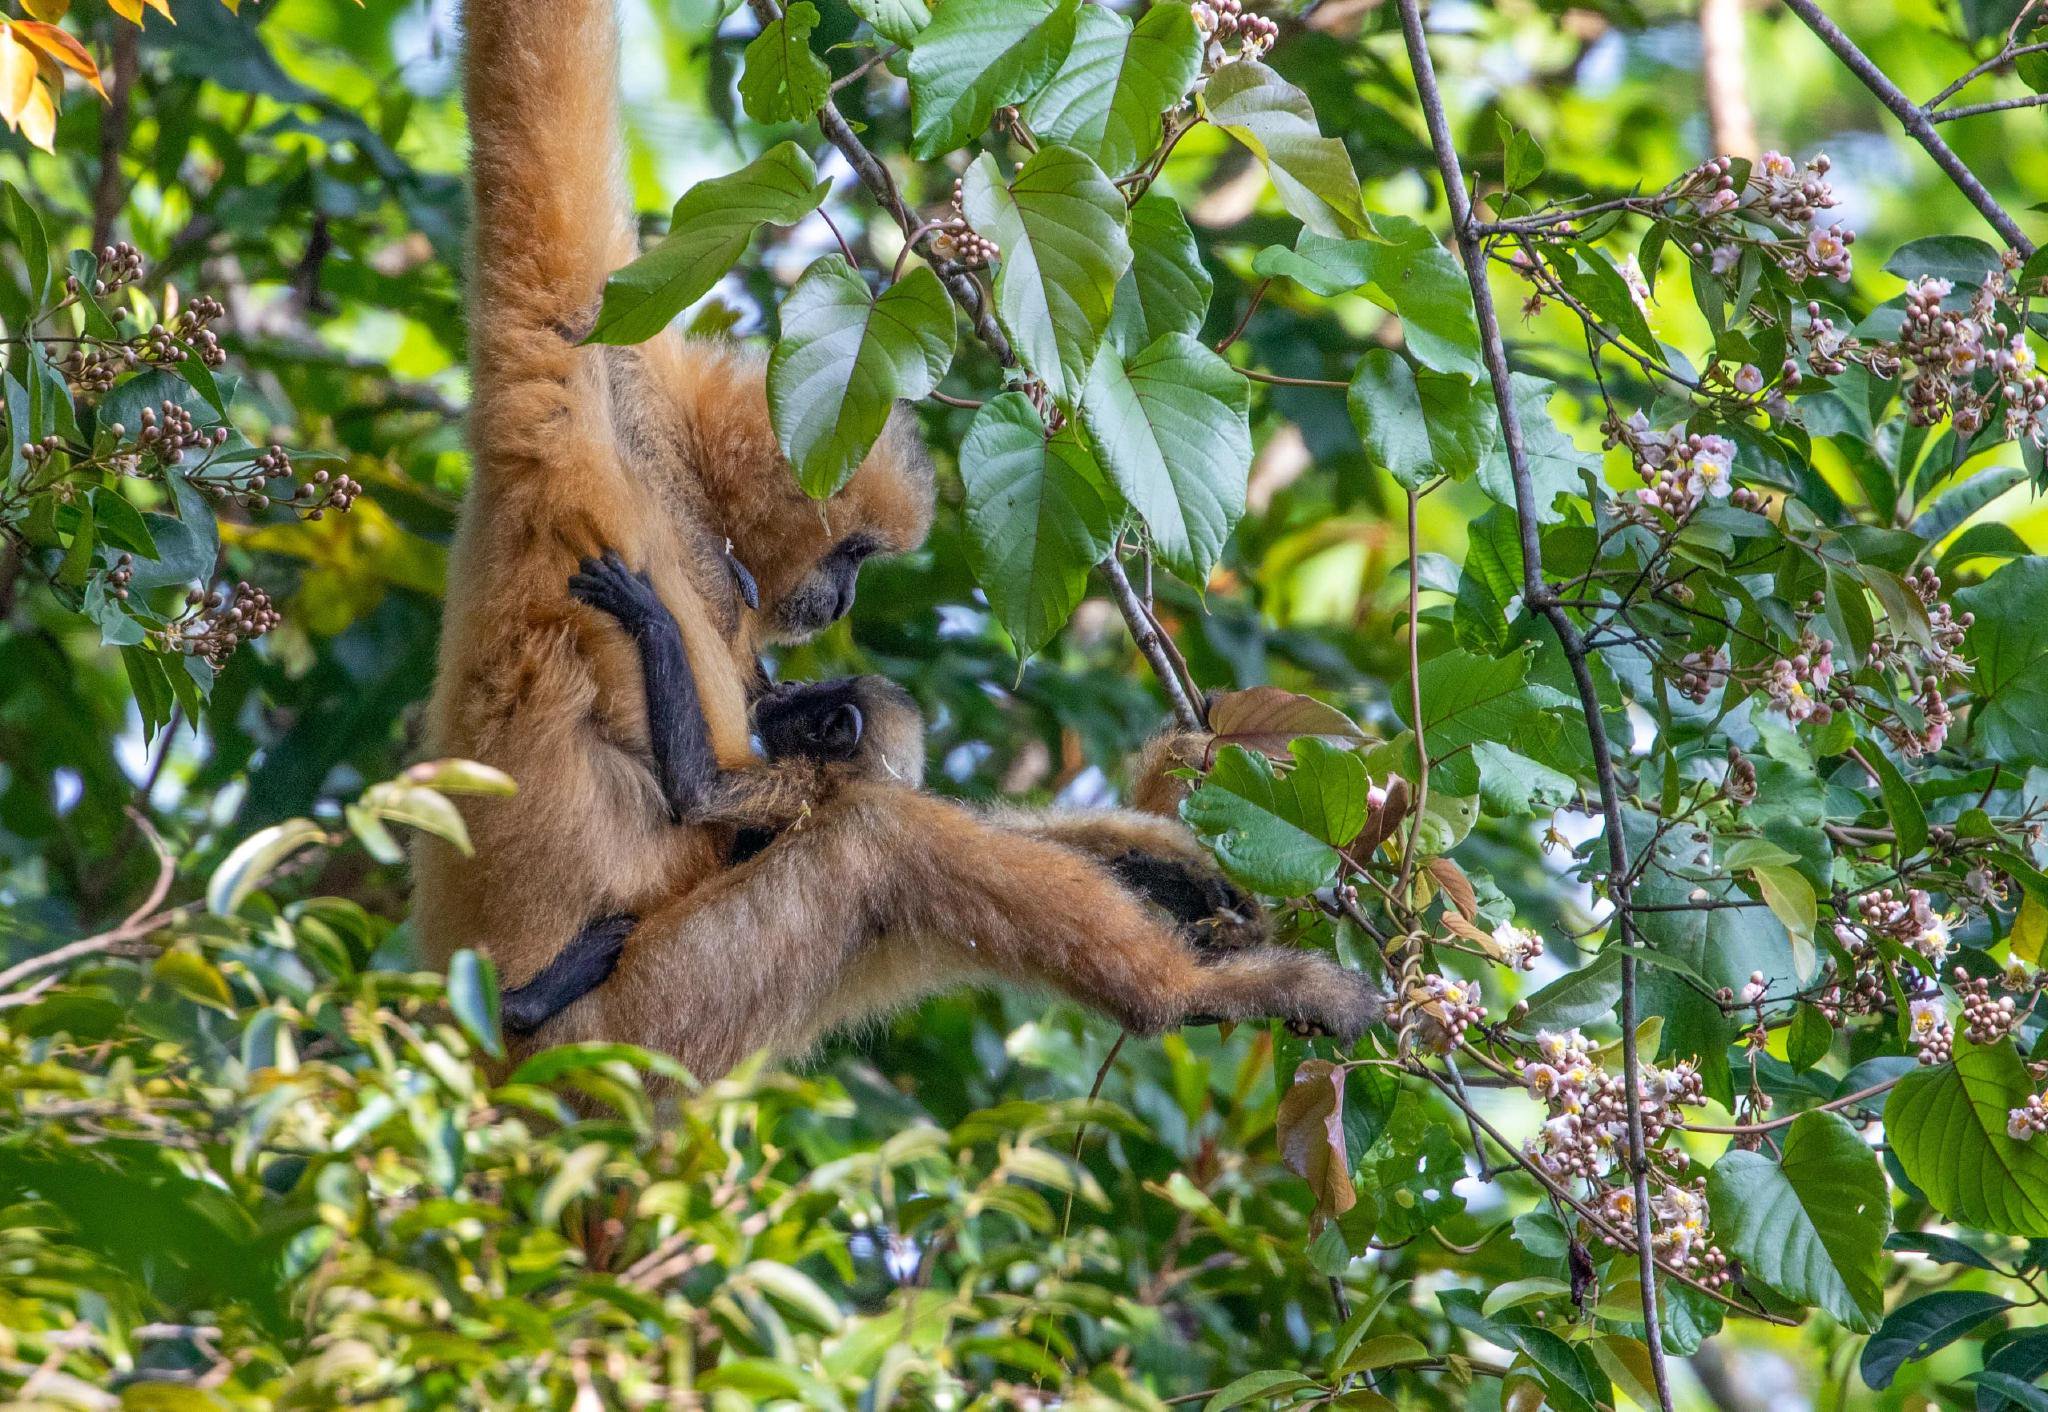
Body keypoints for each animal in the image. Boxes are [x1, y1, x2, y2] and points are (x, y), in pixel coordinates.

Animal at [426, 0, 1382, 1083]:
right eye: (854, 557)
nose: (842, 601)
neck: (678, 498)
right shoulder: (576, 418)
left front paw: (1163, 856)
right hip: (634, 1026)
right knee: (876, 841)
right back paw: (1185, 995)